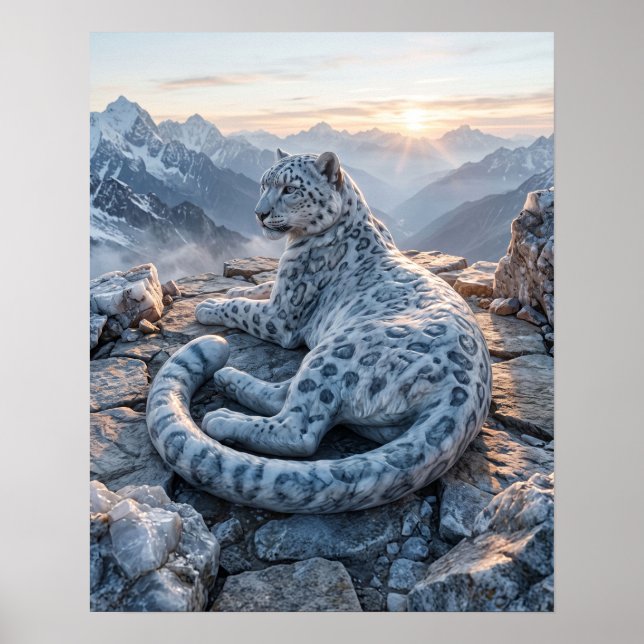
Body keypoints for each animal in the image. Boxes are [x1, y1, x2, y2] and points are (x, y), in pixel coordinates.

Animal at [146, 149, 492, 514]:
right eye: (264, 184)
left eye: (290, 189)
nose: (259, 214)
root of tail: (465, 393)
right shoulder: (280, 291)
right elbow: (262, 286)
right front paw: (231, 290)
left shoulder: (282, 316)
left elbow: (243, 308)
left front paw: (210, 305)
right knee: (289, 396)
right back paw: (230, 379)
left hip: (337, 352)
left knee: (299, 430)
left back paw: (223, 416)